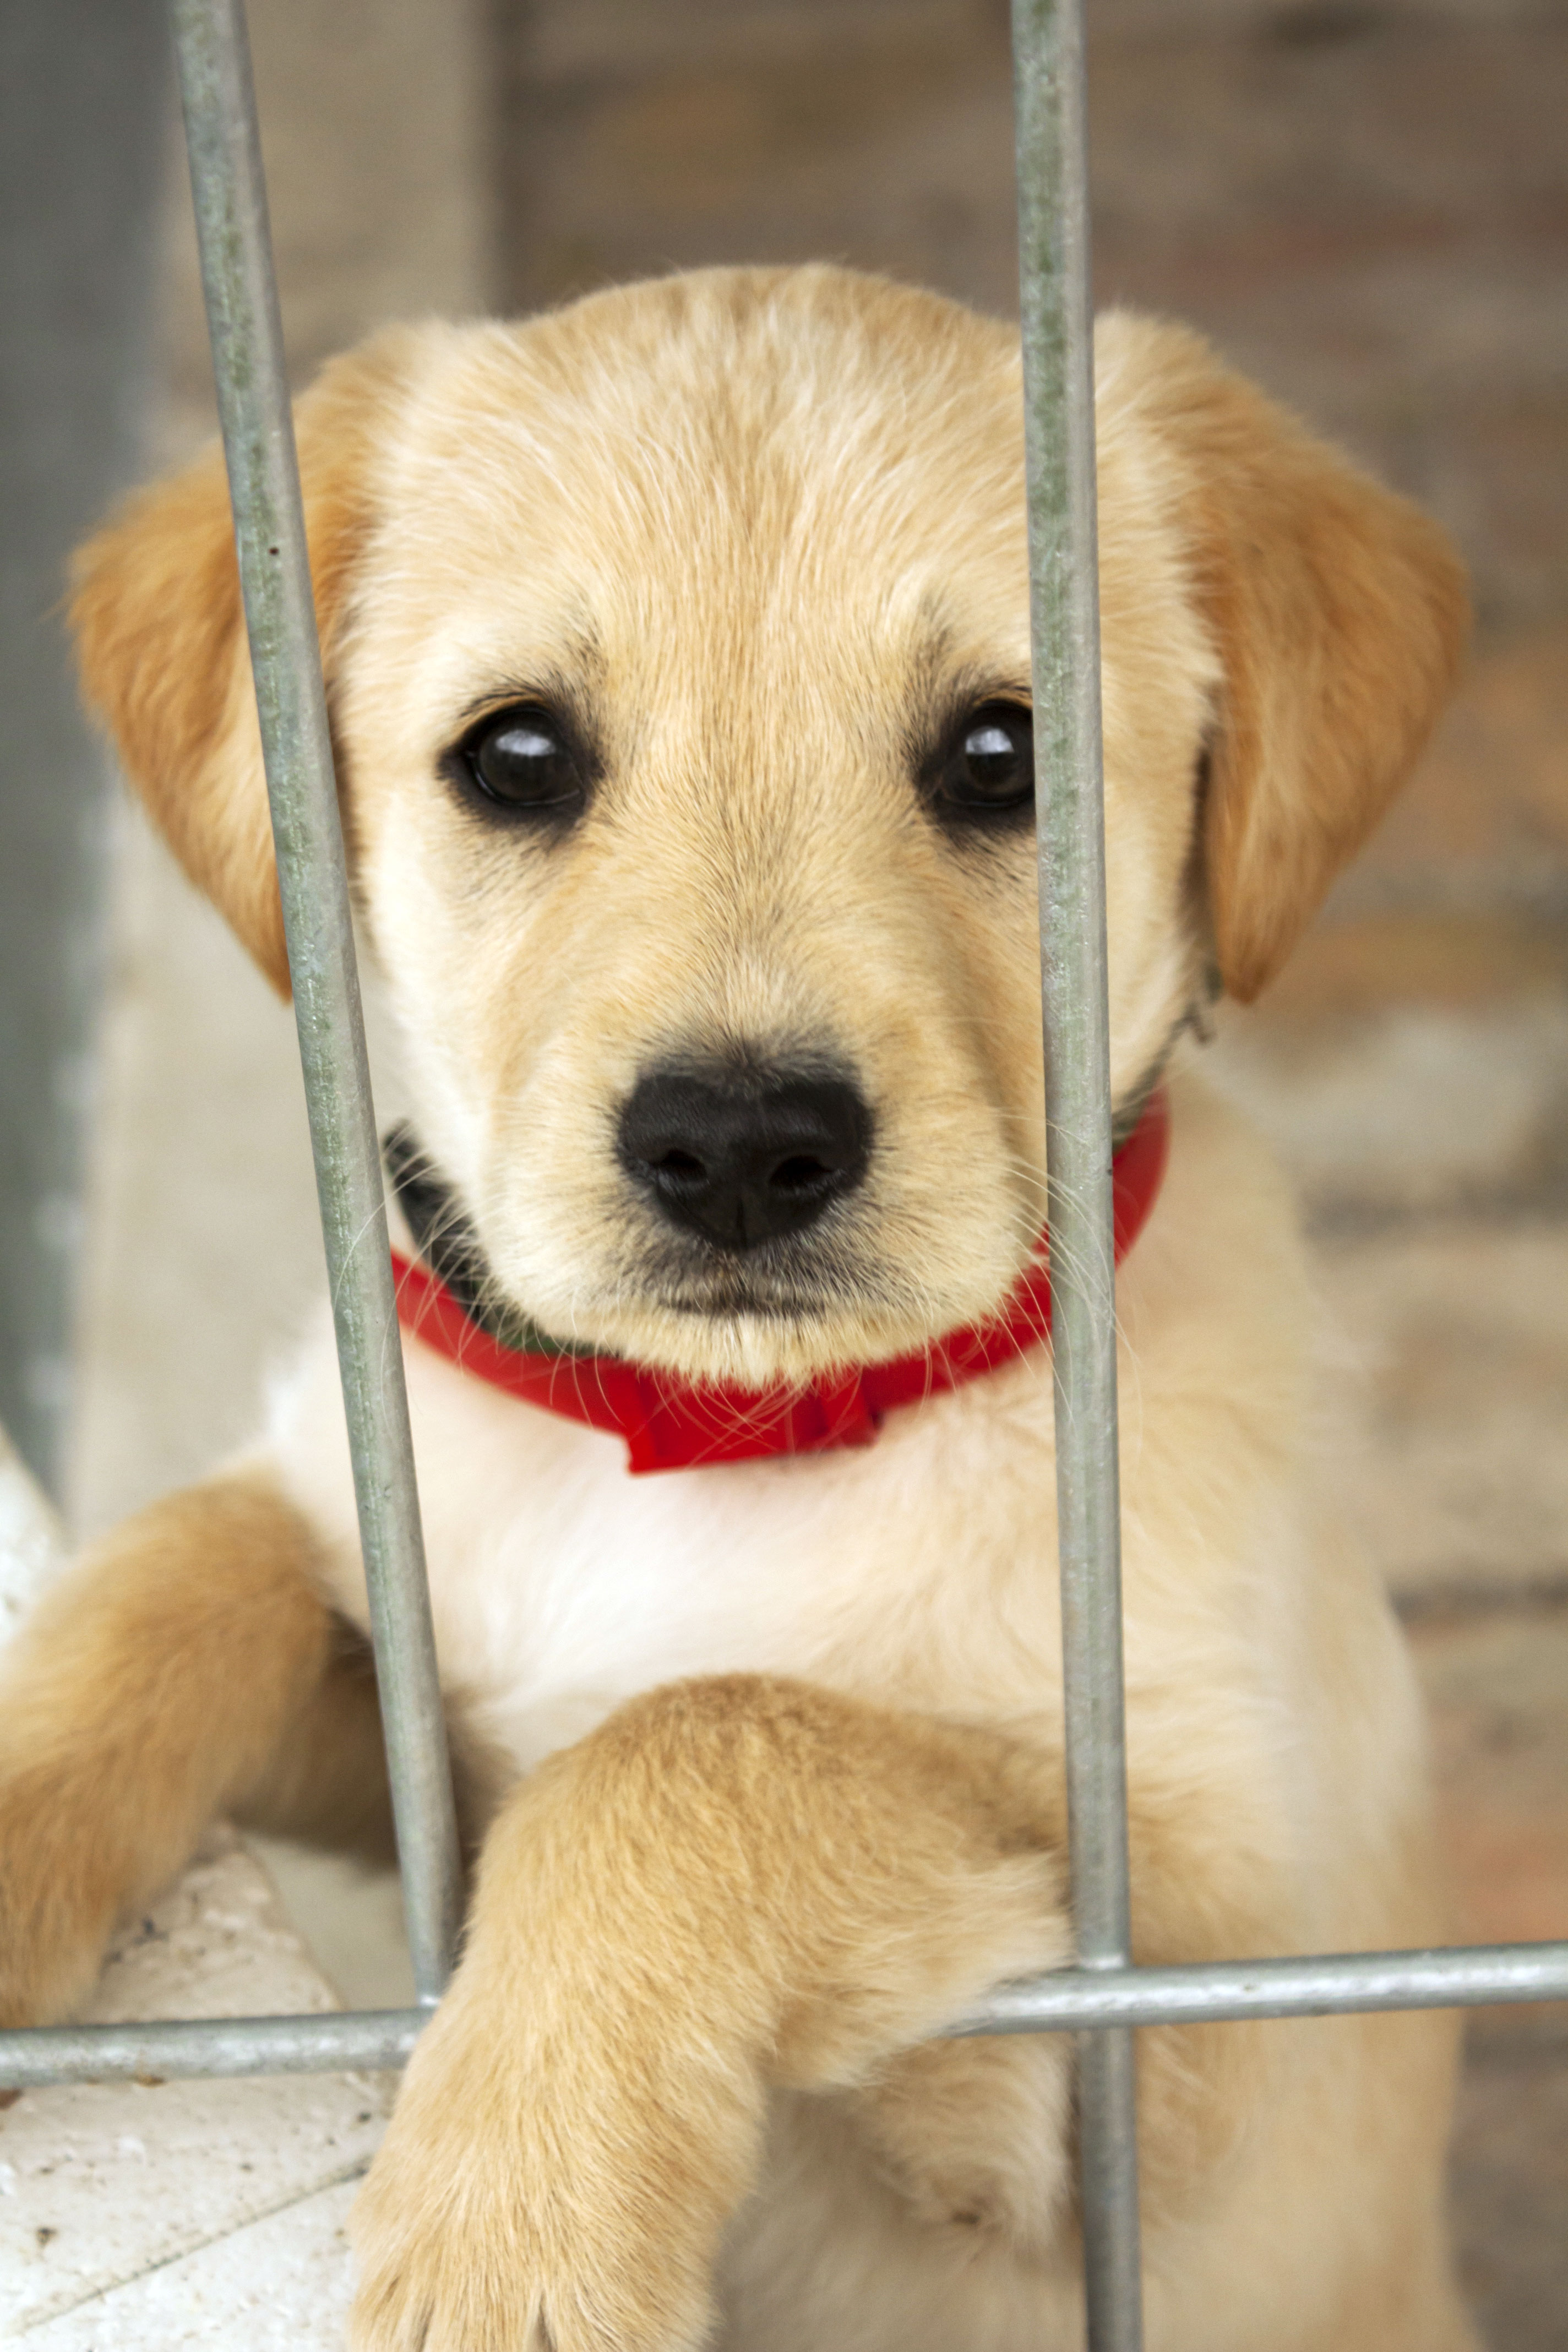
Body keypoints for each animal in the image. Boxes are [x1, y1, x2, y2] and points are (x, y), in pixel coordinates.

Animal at [3, 266, 1476, 2342]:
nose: (736, 1146)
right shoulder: (416, 1730)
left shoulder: (1183, 2033)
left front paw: (514, 2223)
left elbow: (700, 1740)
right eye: (517, 758)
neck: (725, 1436)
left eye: (1001, 757)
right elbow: (177, 1565)